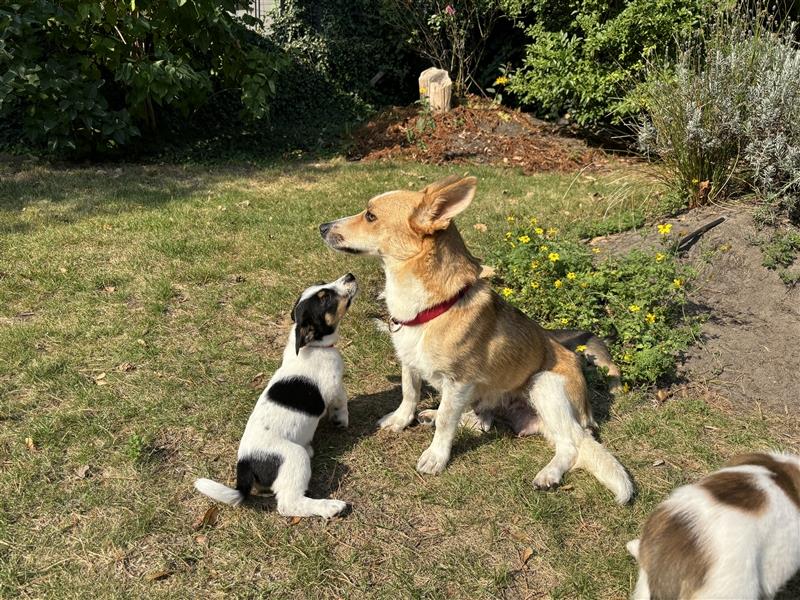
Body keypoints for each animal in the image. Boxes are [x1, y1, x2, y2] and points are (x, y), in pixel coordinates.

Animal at [194, 274, 356, 516]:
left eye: (322, 285)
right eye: (325, 297)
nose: (350, 276)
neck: (314, 346)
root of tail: (245, 466)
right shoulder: (334, 386)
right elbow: (342, 402)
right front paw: (341, 420)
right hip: (294, 457)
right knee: (290, 504)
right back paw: (330, 507)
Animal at [322, 176, 636, 504]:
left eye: (370, 216)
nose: (322, 227)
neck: (429, 307)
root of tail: (586, 414)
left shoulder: (459, 381)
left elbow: (447, 422)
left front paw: (436, 457)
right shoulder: (410, 364)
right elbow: (409, 395)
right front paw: (400, 421)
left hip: (544, 385)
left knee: (571, 445)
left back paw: (548, 474)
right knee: (483, 423)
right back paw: (434, 415)